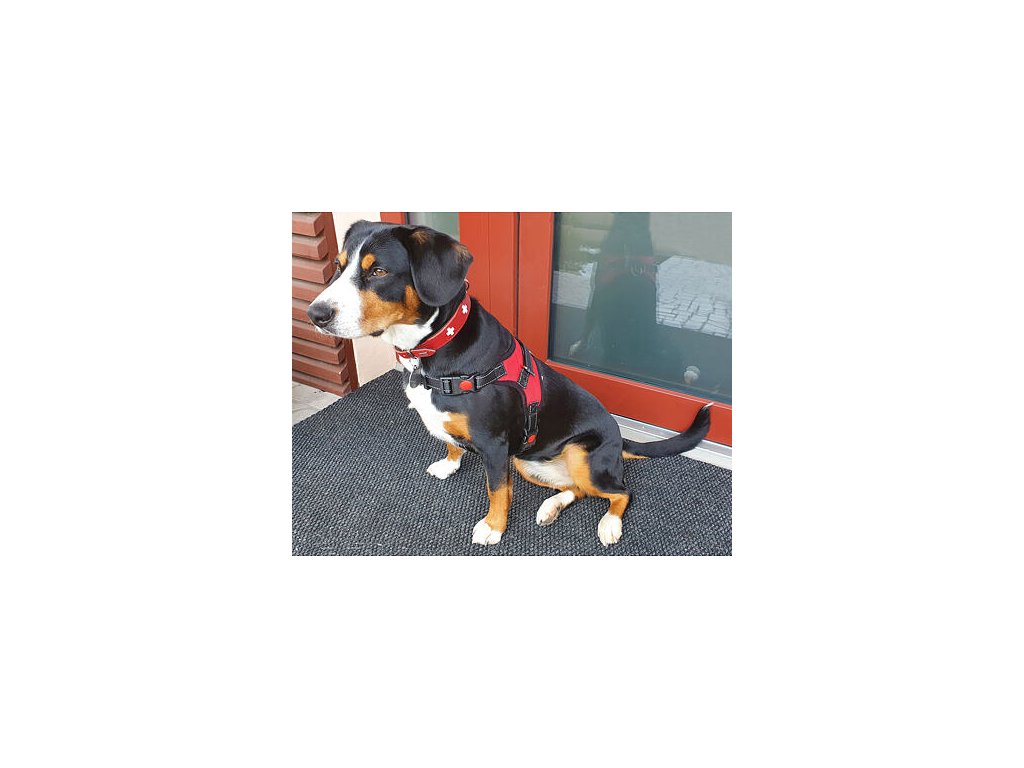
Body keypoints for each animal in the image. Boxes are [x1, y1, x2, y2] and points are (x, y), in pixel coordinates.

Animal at [307, 220, 712, 547]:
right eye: (339, 267)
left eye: (378, 271)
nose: (315, 314)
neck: (428, 353)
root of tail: (619, 439)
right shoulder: (495, 448)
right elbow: (452, 444)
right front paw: (449, 463)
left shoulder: (495, 446)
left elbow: (497, 491)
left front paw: (493, 527)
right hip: (526, 461)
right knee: (574, 489)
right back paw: (550, 507)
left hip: (582, 456)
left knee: (619, 492)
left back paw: (609, 524)